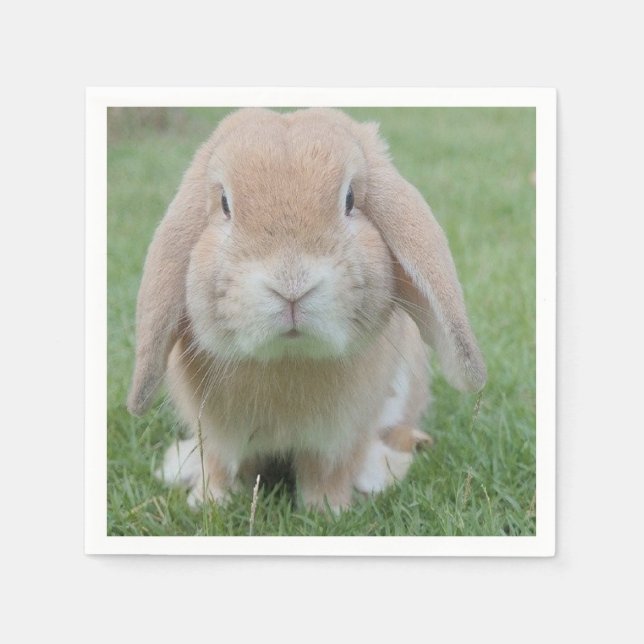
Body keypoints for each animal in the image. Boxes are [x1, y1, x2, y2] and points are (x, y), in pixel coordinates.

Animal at [126, 107, 486, 512]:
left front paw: (329, 510)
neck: (288, 358)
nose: (291, 285)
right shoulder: (218, 435)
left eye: (349, 199)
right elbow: (220, 466)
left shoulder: (339, 437)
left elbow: (326, 472)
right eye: (224, 204)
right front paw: (208, 502)